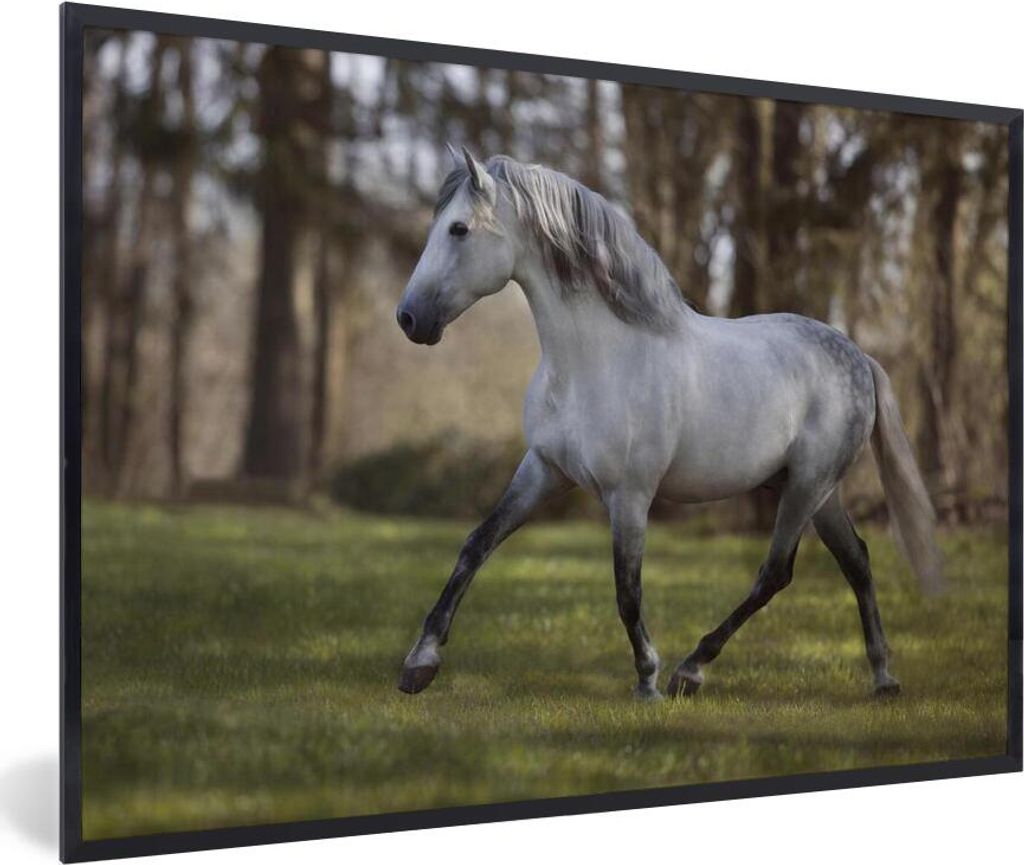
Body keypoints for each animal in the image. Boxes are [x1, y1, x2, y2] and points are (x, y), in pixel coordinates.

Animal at [394, 146, 942, 701]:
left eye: (459, 229)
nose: (409, 319)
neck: (595, 362)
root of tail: (860, 358)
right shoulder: (544, 471)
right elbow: (476, 545)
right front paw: (420, 664)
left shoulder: (630, 495)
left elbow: (627, 589)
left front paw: (647, 679)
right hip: (817, 492)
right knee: (857, 561)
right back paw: (883, 677)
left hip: (809, 486)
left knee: (774, 573)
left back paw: (691, 669)